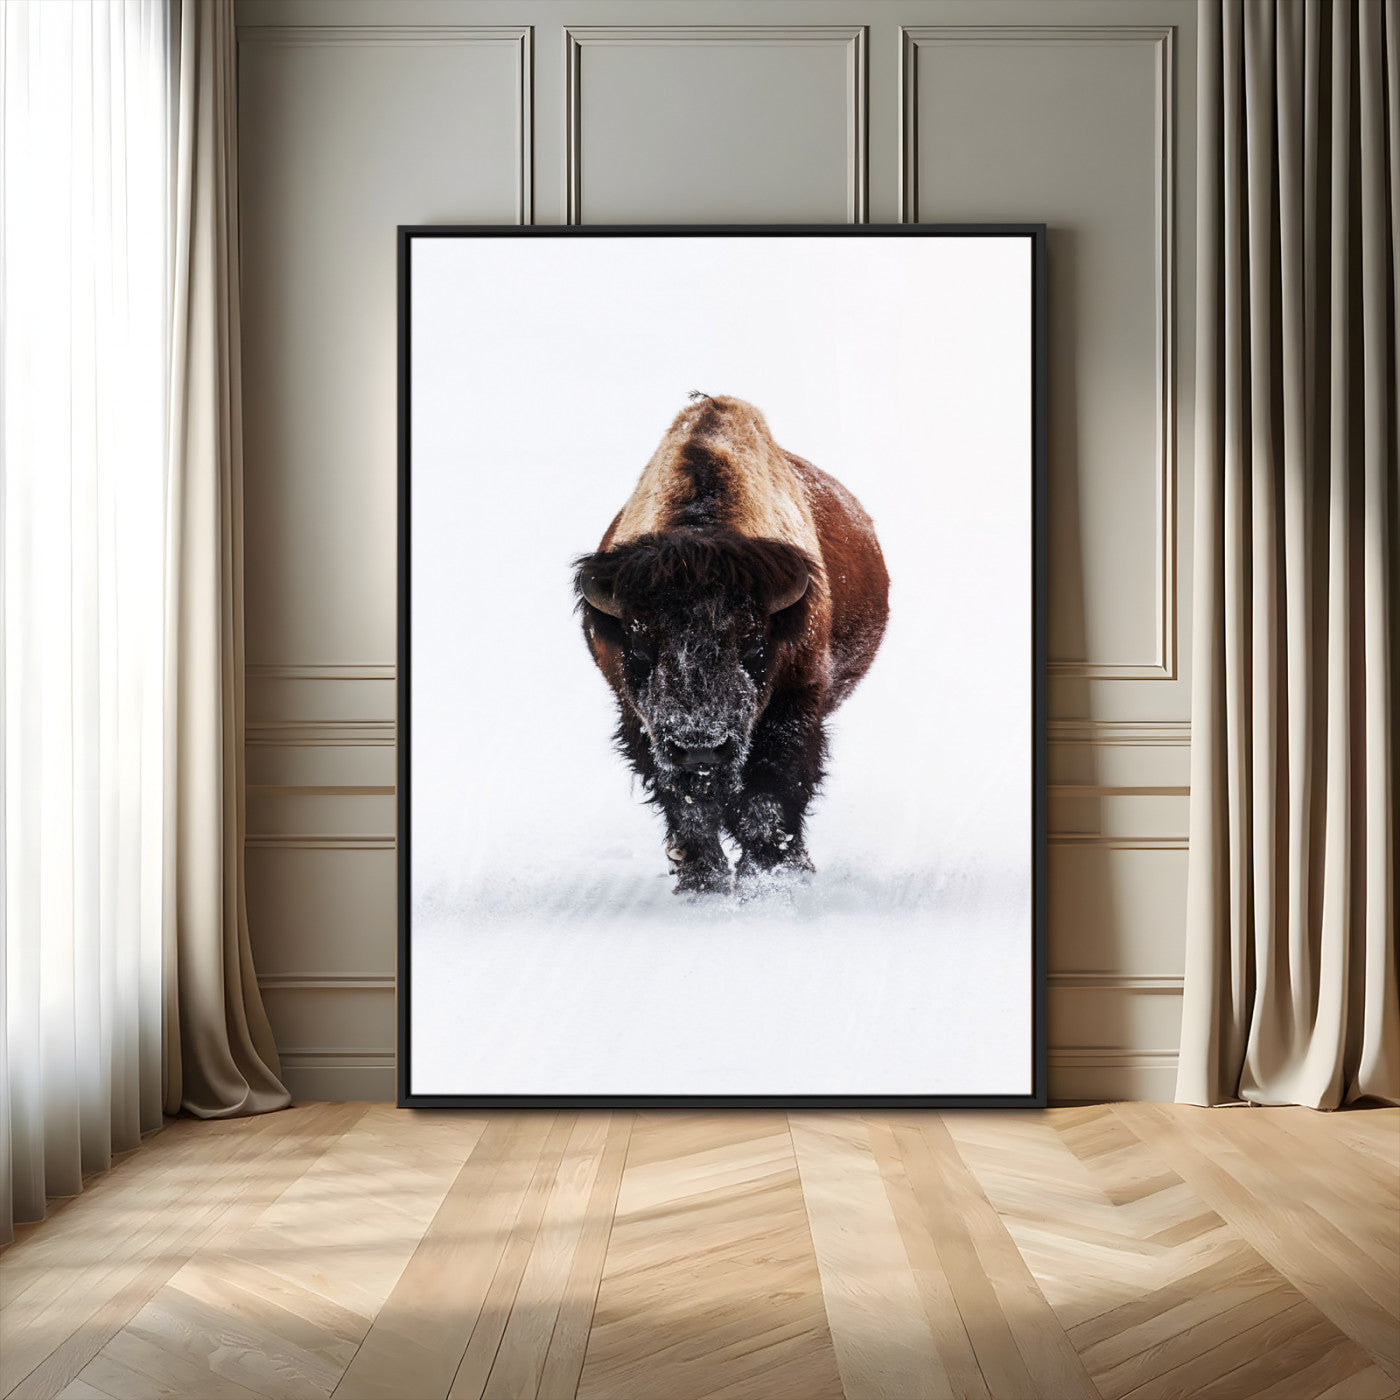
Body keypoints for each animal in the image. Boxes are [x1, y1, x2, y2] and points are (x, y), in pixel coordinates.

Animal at [575, 394, 889, 895]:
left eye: (754, 643)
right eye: (639, 643)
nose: (701, 746)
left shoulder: (792, 709)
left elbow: (768, 796)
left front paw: (770, 877)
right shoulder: (641, 723)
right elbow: (687, 804)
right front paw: (702, 880)